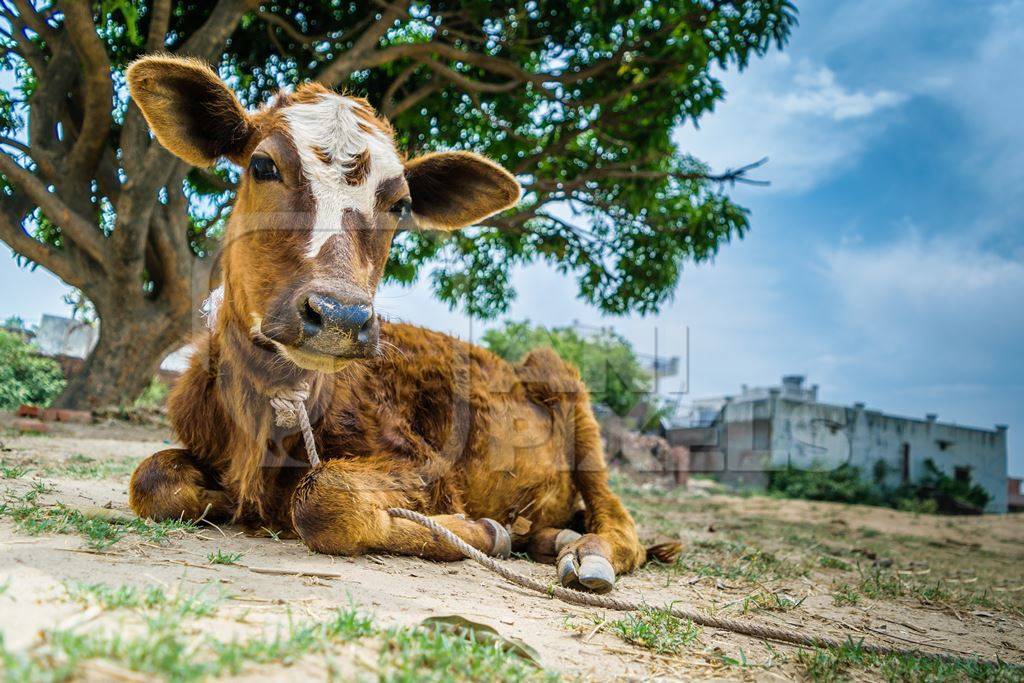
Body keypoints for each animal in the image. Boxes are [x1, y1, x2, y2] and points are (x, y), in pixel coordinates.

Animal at [123, 56, 675, 589]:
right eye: (262, 165)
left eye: (401, 204)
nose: (339, 315)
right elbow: (153, 480)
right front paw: (223, 498)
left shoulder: (426, 468)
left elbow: (326, 496)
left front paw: (482, 531)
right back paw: (549, 536)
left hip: (568, 391)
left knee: (618, 517)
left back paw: (586, 553)